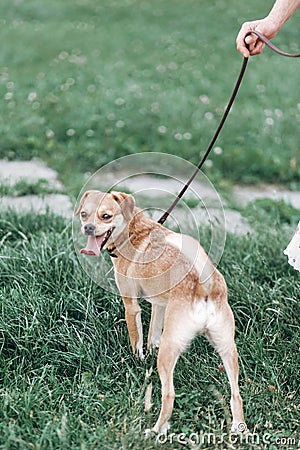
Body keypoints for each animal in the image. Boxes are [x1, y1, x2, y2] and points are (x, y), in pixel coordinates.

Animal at [75, 189, 246, 432]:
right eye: (84, 214)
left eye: (105, 216)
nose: (88, 227)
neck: (132, 230)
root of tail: (203, 286)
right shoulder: (160, 305)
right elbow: (152, 335)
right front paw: (148, 351)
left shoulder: (131, 305)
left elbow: (136, 339)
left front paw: (138, 361)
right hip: (227, 347)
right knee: (236, 394)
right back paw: (240, 428)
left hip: (169, 354)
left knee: (169, 395)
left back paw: (156, 430)